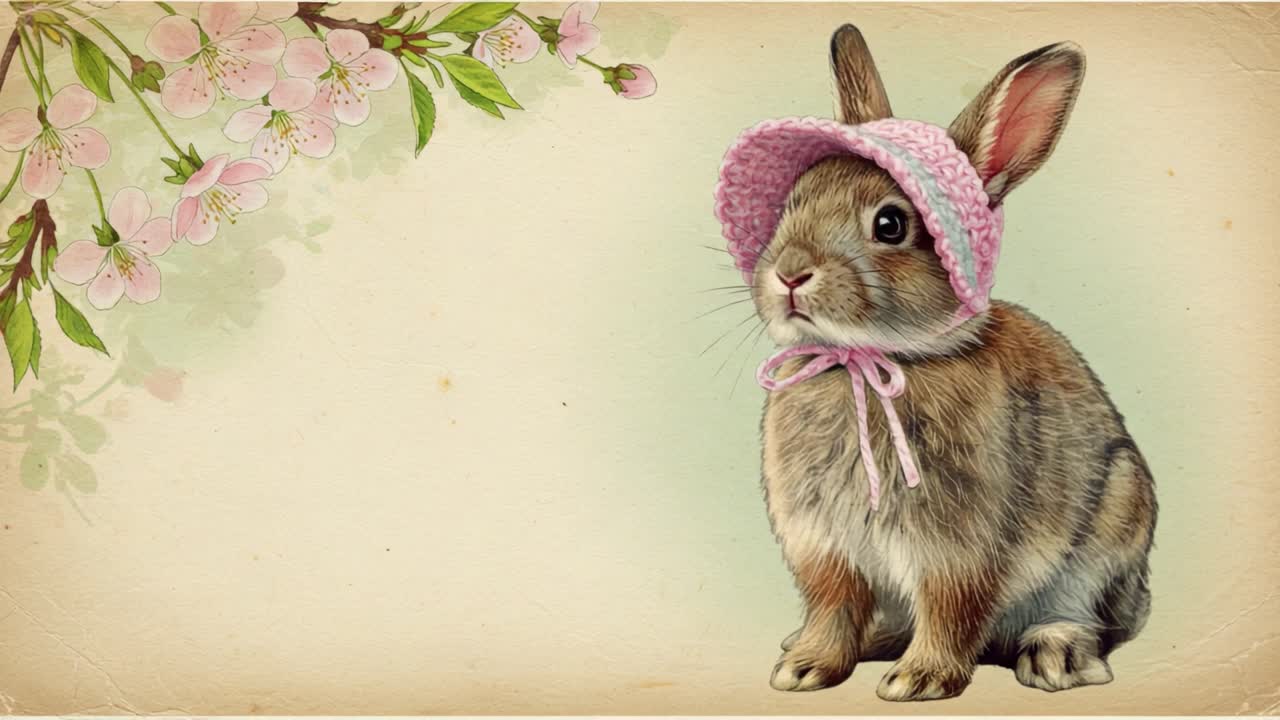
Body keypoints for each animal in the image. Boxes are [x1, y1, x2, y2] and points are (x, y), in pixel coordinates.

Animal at [734, 26, 1156, 701]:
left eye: (890, 224)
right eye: (794, 202)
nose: (791, 273)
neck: (868, 362)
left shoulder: (958, 546)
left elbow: (950, 606)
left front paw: (920, 680)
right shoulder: (823, 545)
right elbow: (832, 604)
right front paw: (804, 668)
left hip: (1111, 525)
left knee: (1087, 618)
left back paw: (1055, 656)